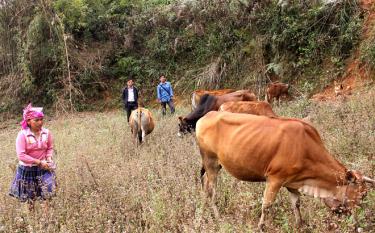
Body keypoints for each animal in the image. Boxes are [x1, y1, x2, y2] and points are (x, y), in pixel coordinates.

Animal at [197, 111, 375, 231]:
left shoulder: (293, 181)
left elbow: (296, 204)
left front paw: (300, 224)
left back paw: (203, 213)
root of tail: (207, 115)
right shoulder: (275, 179)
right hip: (211, 162)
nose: (359, 225)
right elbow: (266, 205)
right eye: (361, 195)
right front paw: (261, 227)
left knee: (205, 187)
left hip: (214, 165)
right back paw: (218, 218)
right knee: (211, 190)